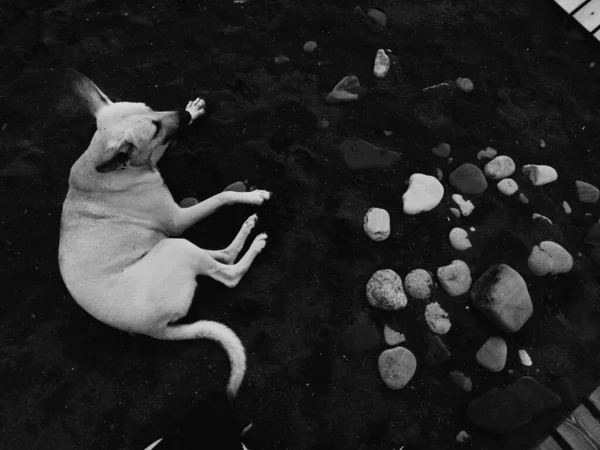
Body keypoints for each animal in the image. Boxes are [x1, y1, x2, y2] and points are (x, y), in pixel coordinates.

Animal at [59, 68, 270, 400]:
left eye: (151, 109)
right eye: (155, 127)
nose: (183, 115)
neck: (105, 164)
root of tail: (155, 331)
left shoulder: (148, 160)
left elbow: (161, 151)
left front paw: (194, 111)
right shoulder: (178, 219)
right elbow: (221, 196)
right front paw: (250, 196)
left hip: (172, 246)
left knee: (222, 255)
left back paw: (247, 231)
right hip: (176, 246)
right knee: (228, 274)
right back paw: (255, 240)